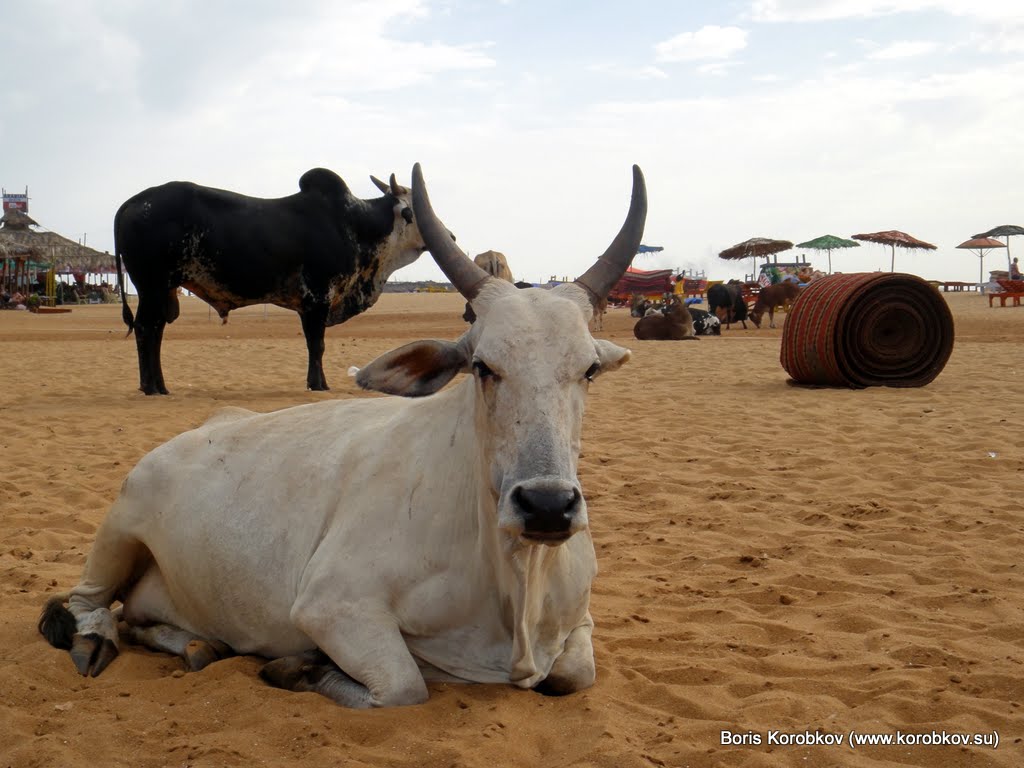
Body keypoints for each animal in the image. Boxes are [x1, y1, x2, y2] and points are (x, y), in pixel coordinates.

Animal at [114, 168, 430, 397]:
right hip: (152, 287)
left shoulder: (310, 304)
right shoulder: (318, 298)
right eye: (411, 212)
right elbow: (317, 345)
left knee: (155, 331)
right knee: (145, 329)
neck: (356, 224)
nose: (440, 236)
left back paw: (160, 386)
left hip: (160, 291)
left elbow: (313, 344)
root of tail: (133, 202)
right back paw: (150, 387)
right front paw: (319, 385)